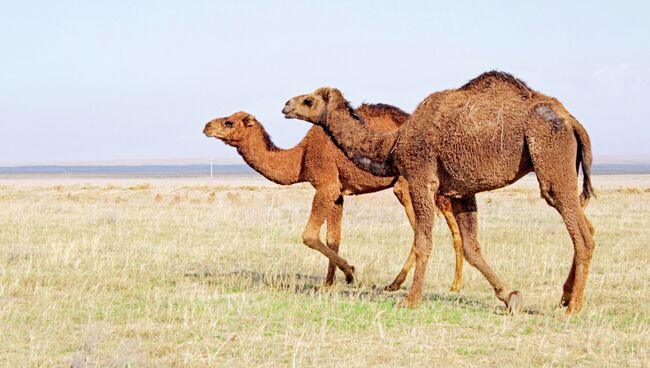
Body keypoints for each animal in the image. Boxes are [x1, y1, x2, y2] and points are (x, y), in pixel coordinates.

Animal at [201, 105, 460, 292]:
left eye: (229, 122)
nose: (206, 126)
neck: (300, 158)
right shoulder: (338, 193)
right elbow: (333, 238)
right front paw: (328, 283)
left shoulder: (326, 185)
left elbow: (309, 235)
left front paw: (350, 272)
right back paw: (452, 285)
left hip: (405, 185)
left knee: (420, 229)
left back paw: (397, 283)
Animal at [280, 71, 596, 314]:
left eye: (309, 100)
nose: (286, 104)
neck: (393, 143)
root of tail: (571, 120)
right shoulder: (461, 192)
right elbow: (472, 248)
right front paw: (510, 297)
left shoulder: (422, 178)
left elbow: (423, 241)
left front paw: (410, 300)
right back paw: (566, 298)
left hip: (551, 157)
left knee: (581, 233)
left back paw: (573, 307)